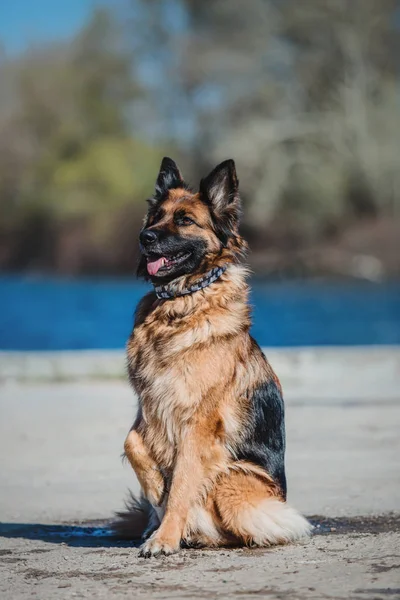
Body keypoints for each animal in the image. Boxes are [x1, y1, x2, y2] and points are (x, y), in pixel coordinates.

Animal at [114, 157, 310, 556]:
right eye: (155, 216)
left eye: (185, 220)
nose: (145, 237)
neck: (181, 303)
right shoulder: (148, 405)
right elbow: (132, 442)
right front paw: (156, 486)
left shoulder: (197, 422)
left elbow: (182, 484)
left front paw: (165, 537)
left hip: (231, 481)